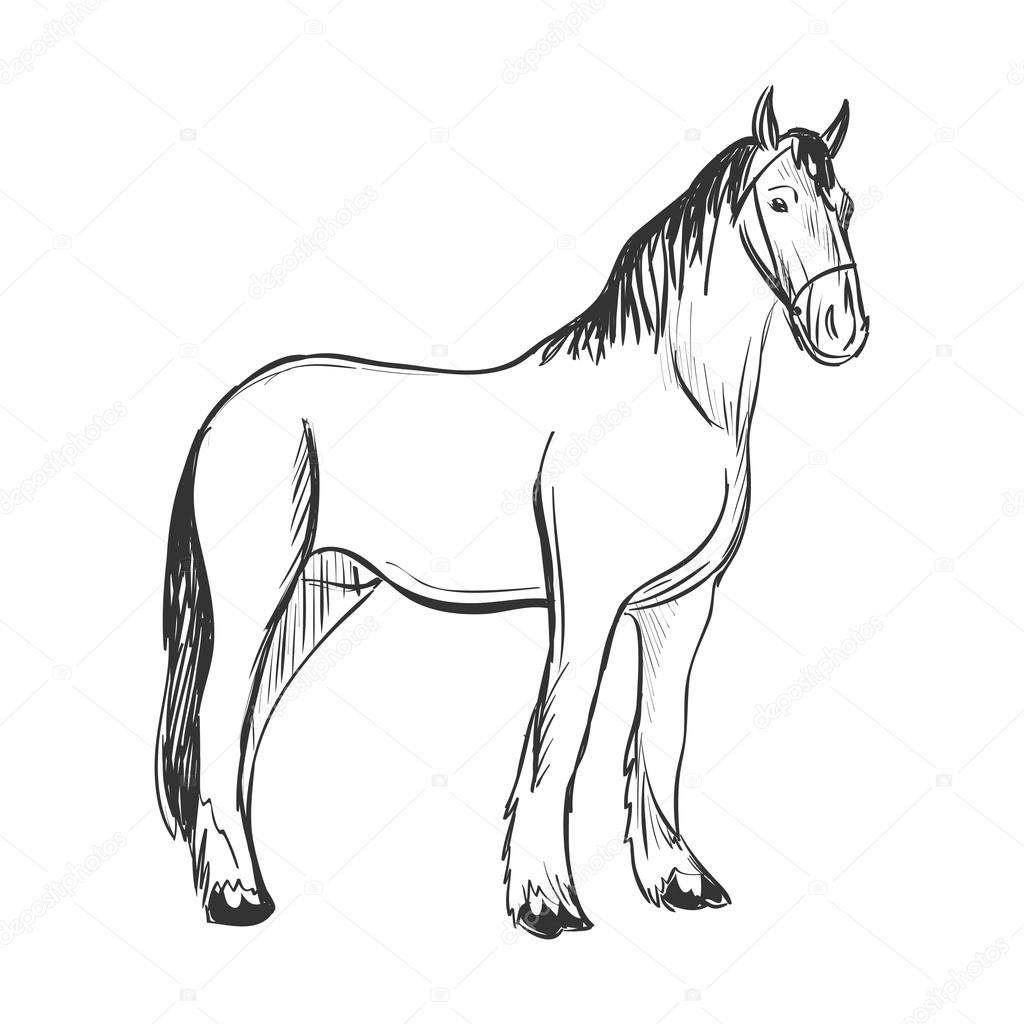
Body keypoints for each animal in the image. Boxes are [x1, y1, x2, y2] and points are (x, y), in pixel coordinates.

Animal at [155, 86, 868, 937]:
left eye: (847, 205)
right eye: (780, 198)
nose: (842, 328)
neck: (673, 400)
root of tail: (221, 414)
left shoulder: (681, 605)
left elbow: (663, 735)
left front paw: (679, 881)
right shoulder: (589, 605)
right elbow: (561, 738)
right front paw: (546, 902)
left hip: (323, 592)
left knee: (246, 727)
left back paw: (236, 882)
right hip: (258, 595)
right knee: (220, 721)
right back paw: (235, 897)